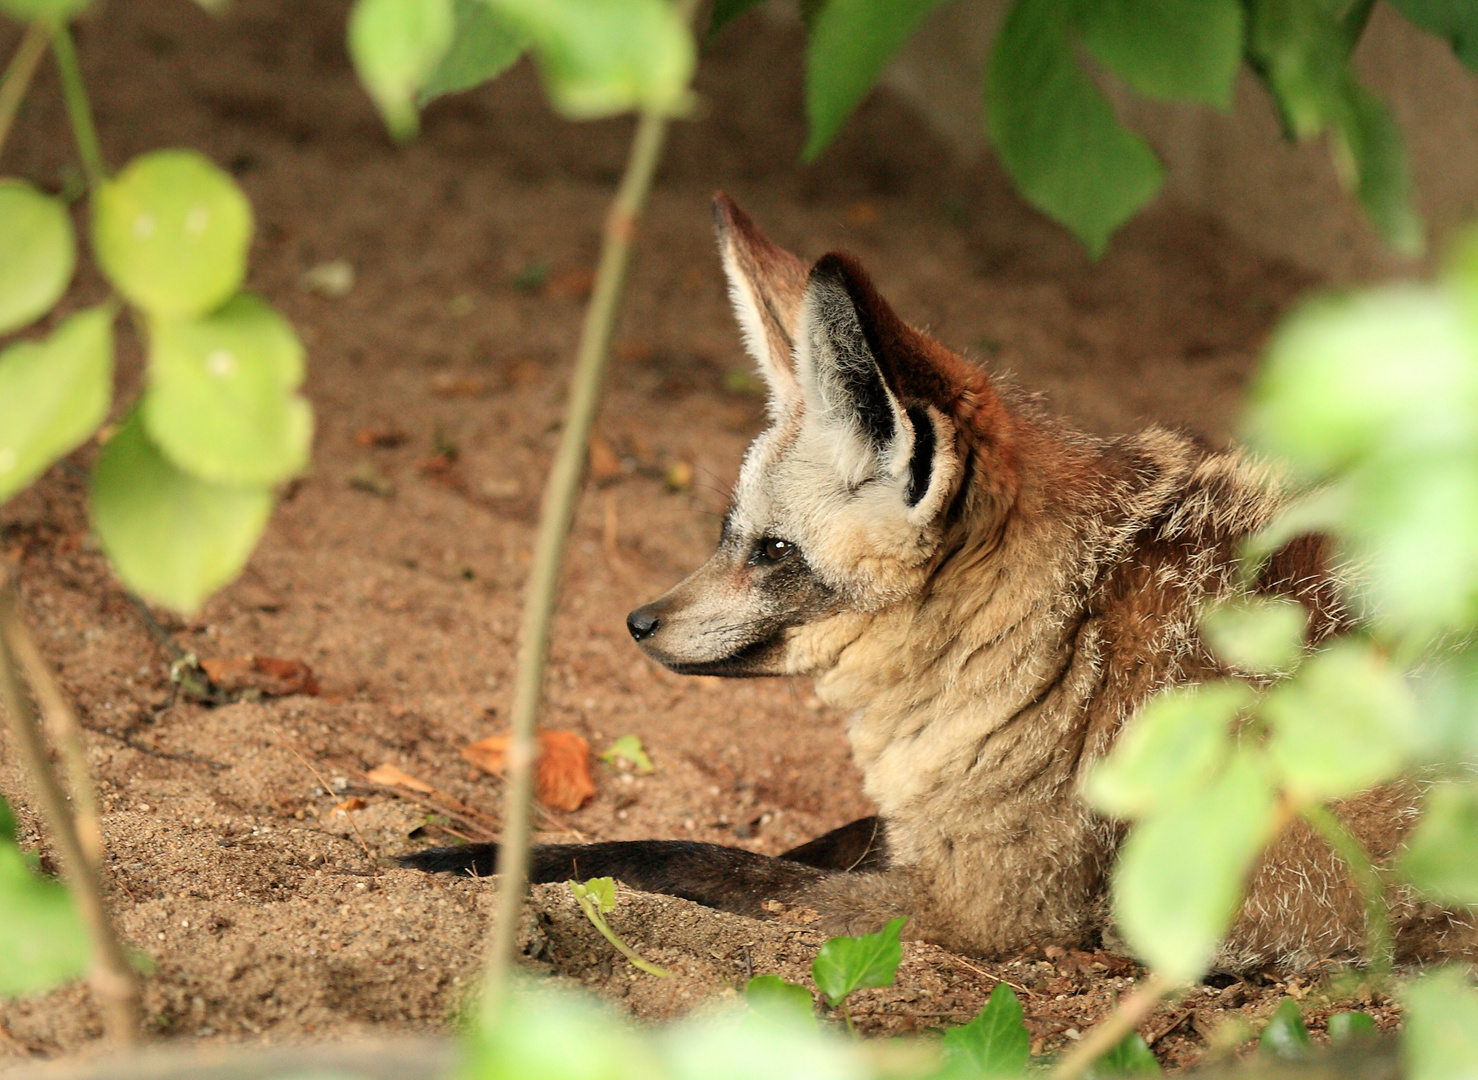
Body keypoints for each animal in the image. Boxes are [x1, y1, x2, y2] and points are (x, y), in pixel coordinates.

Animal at [399, 195, 1472, 969]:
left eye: (775, 552)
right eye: (725, 531)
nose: (638, 621)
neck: (1058, 647)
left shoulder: (981, 911)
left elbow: (688, 855)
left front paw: (475, 860)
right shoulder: (924, 836)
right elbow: (819, 837)